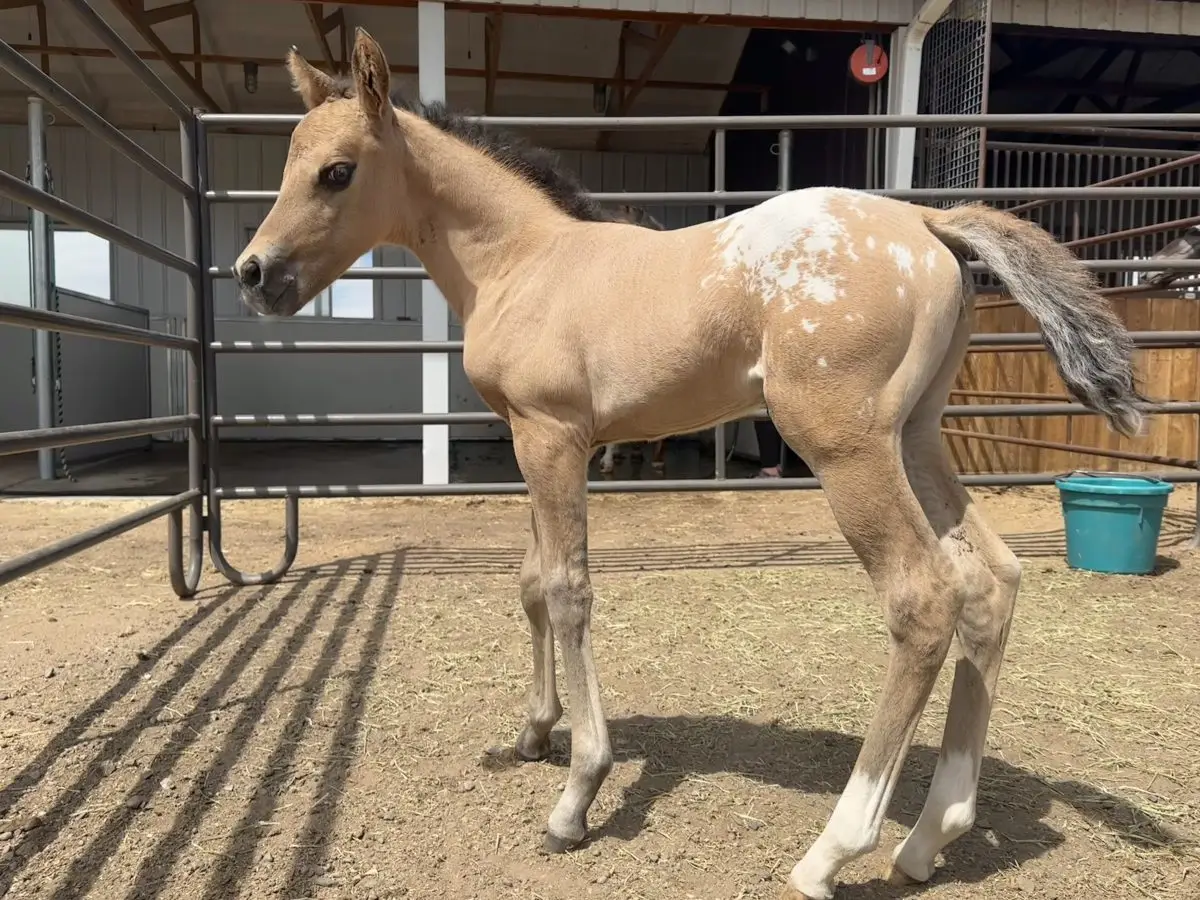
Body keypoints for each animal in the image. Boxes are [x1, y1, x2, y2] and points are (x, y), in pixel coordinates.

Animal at [234, 30, 1145, 899]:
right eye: (287, 164)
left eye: (337, 172)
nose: (254, 274)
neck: (524, 261)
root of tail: (927, 226)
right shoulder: (534, 440)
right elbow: (531, 586)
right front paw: (532, 733)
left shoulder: (554, 439)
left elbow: (567, 593)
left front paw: (577, 795)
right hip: (917, 437)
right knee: (992, 582)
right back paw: (929, 839)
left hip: (845, 447)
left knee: (924, 600)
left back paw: (830, 854)